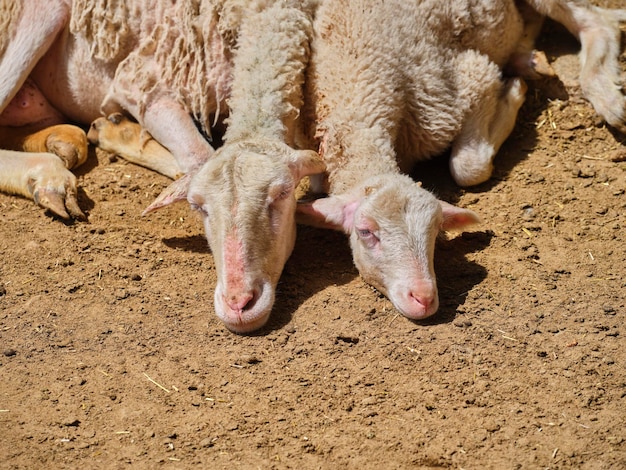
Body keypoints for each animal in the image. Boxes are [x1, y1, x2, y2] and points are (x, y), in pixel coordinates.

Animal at [0, 0, 322, 332]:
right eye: (198, 208)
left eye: (282, 195)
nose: (238, 304)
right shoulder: (141, 81)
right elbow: (196, 154)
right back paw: (50, 176)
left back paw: (77, 138)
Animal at [294, 0, 624, 322]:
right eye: (365, 232)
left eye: (435, 228)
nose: (423, 298)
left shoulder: (472, 78)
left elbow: (467, 168)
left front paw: (512, 96)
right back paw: (528, 58)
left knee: (597, 22)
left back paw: (607, 98)